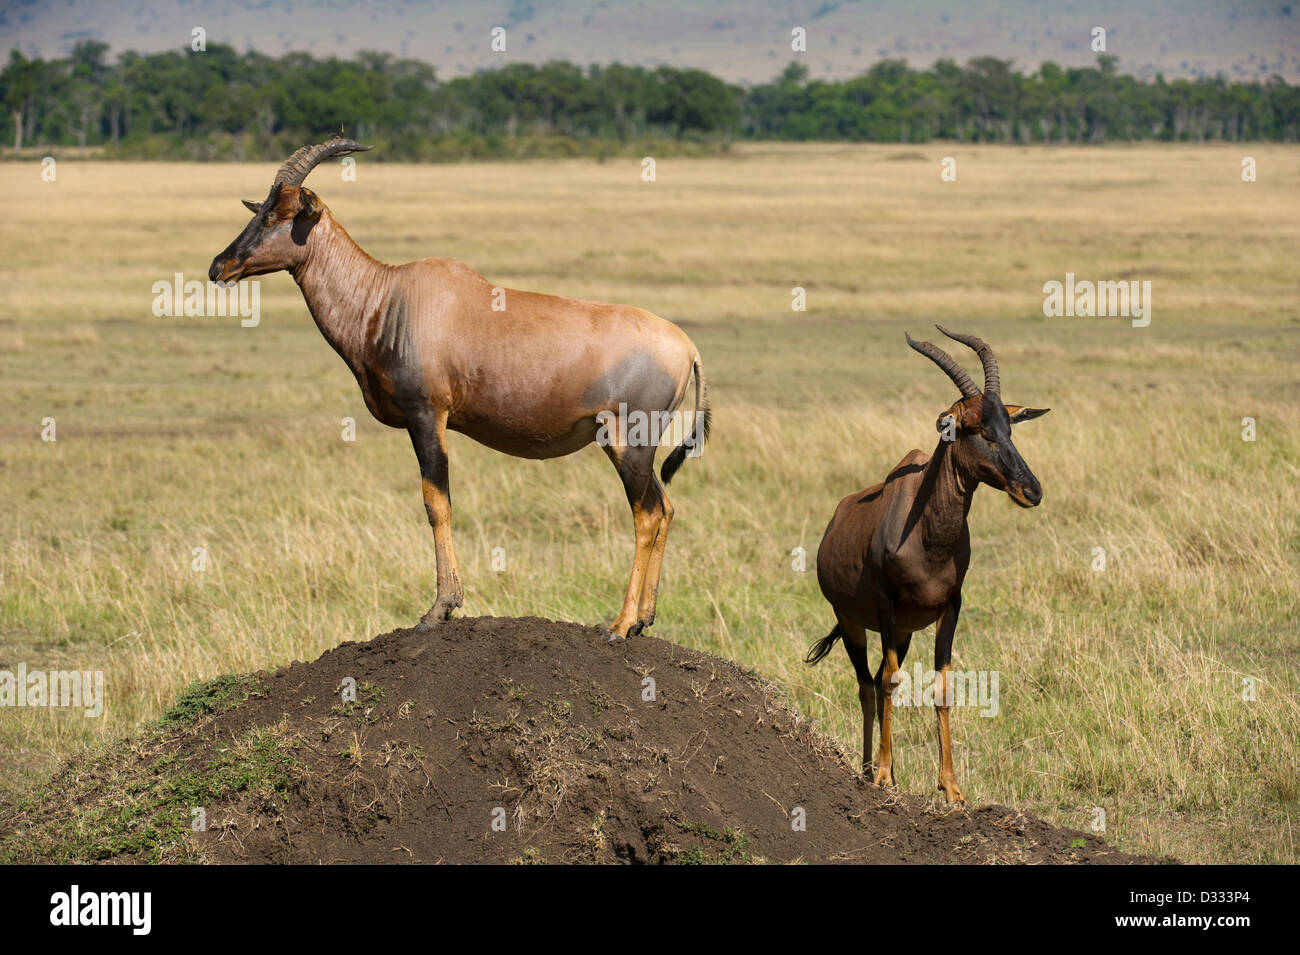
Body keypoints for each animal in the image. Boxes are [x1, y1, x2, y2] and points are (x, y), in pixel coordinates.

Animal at [209, 134, 712, 641]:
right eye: (261, 208)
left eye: (282, 214)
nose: (219, 266)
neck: (390, 297)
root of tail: (687, 347)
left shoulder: (427, 415)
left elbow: (437, 502)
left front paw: (440, 608)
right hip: (636, 449)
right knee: (665, 508)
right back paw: (644, 619)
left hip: (629, 443)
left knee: (647, 514)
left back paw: (621, 624)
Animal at [806, 324, 1050, 805]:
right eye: (974, 428)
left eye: (1008, 426)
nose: (1031, 490)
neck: (925, 531)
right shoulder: (885, 605)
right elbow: (891, 683)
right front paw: (883, 777)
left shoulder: (950, 607)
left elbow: (942, 687)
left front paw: (951, 787)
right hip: (853, 622)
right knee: (868, 683)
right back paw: (870, 770)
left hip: (901, 631)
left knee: (878, 676)